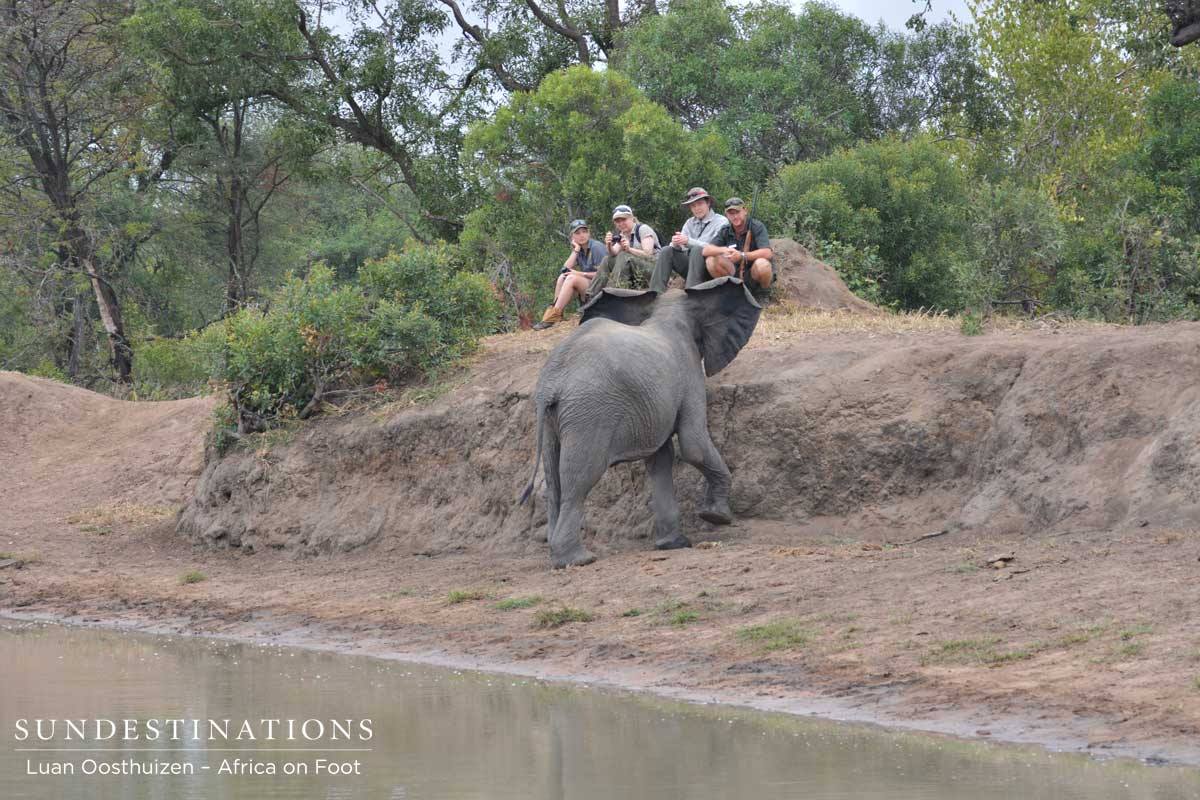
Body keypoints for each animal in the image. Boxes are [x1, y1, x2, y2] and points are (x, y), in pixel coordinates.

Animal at [519, 276, 762, 568]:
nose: (719, 517)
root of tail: (552, 379)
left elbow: (660, 458)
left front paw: (675, 544)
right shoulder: (689, 372)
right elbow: (693, 444)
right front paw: (718, 517)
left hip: (551, 417)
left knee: (553, 481)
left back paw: (558, 558)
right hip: (589, 412)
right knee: (580, 478)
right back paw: (579, 559)